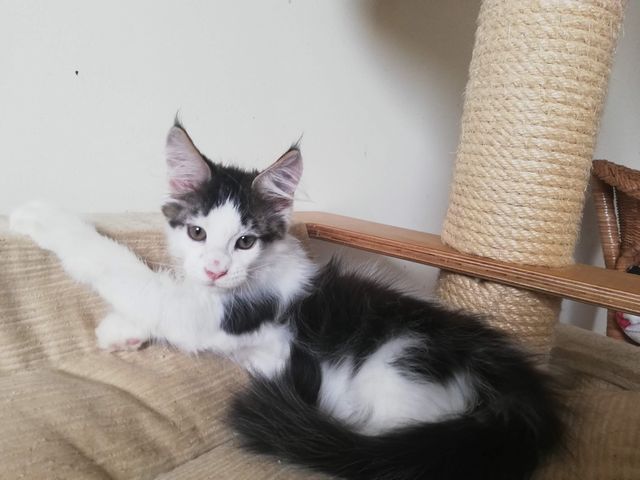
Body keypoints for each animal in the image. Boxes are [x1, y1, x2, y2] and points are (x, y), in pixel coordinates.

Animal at [10, 121, 563, 480]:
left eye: (245, 242)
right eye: (196, 232)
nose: (216, 268)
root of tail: (519, 387)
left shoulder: (225, 313)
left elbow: (128, 272)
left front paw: (41, 217)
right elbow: (164, 290)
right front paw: (121, 330)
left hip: (402, 364)